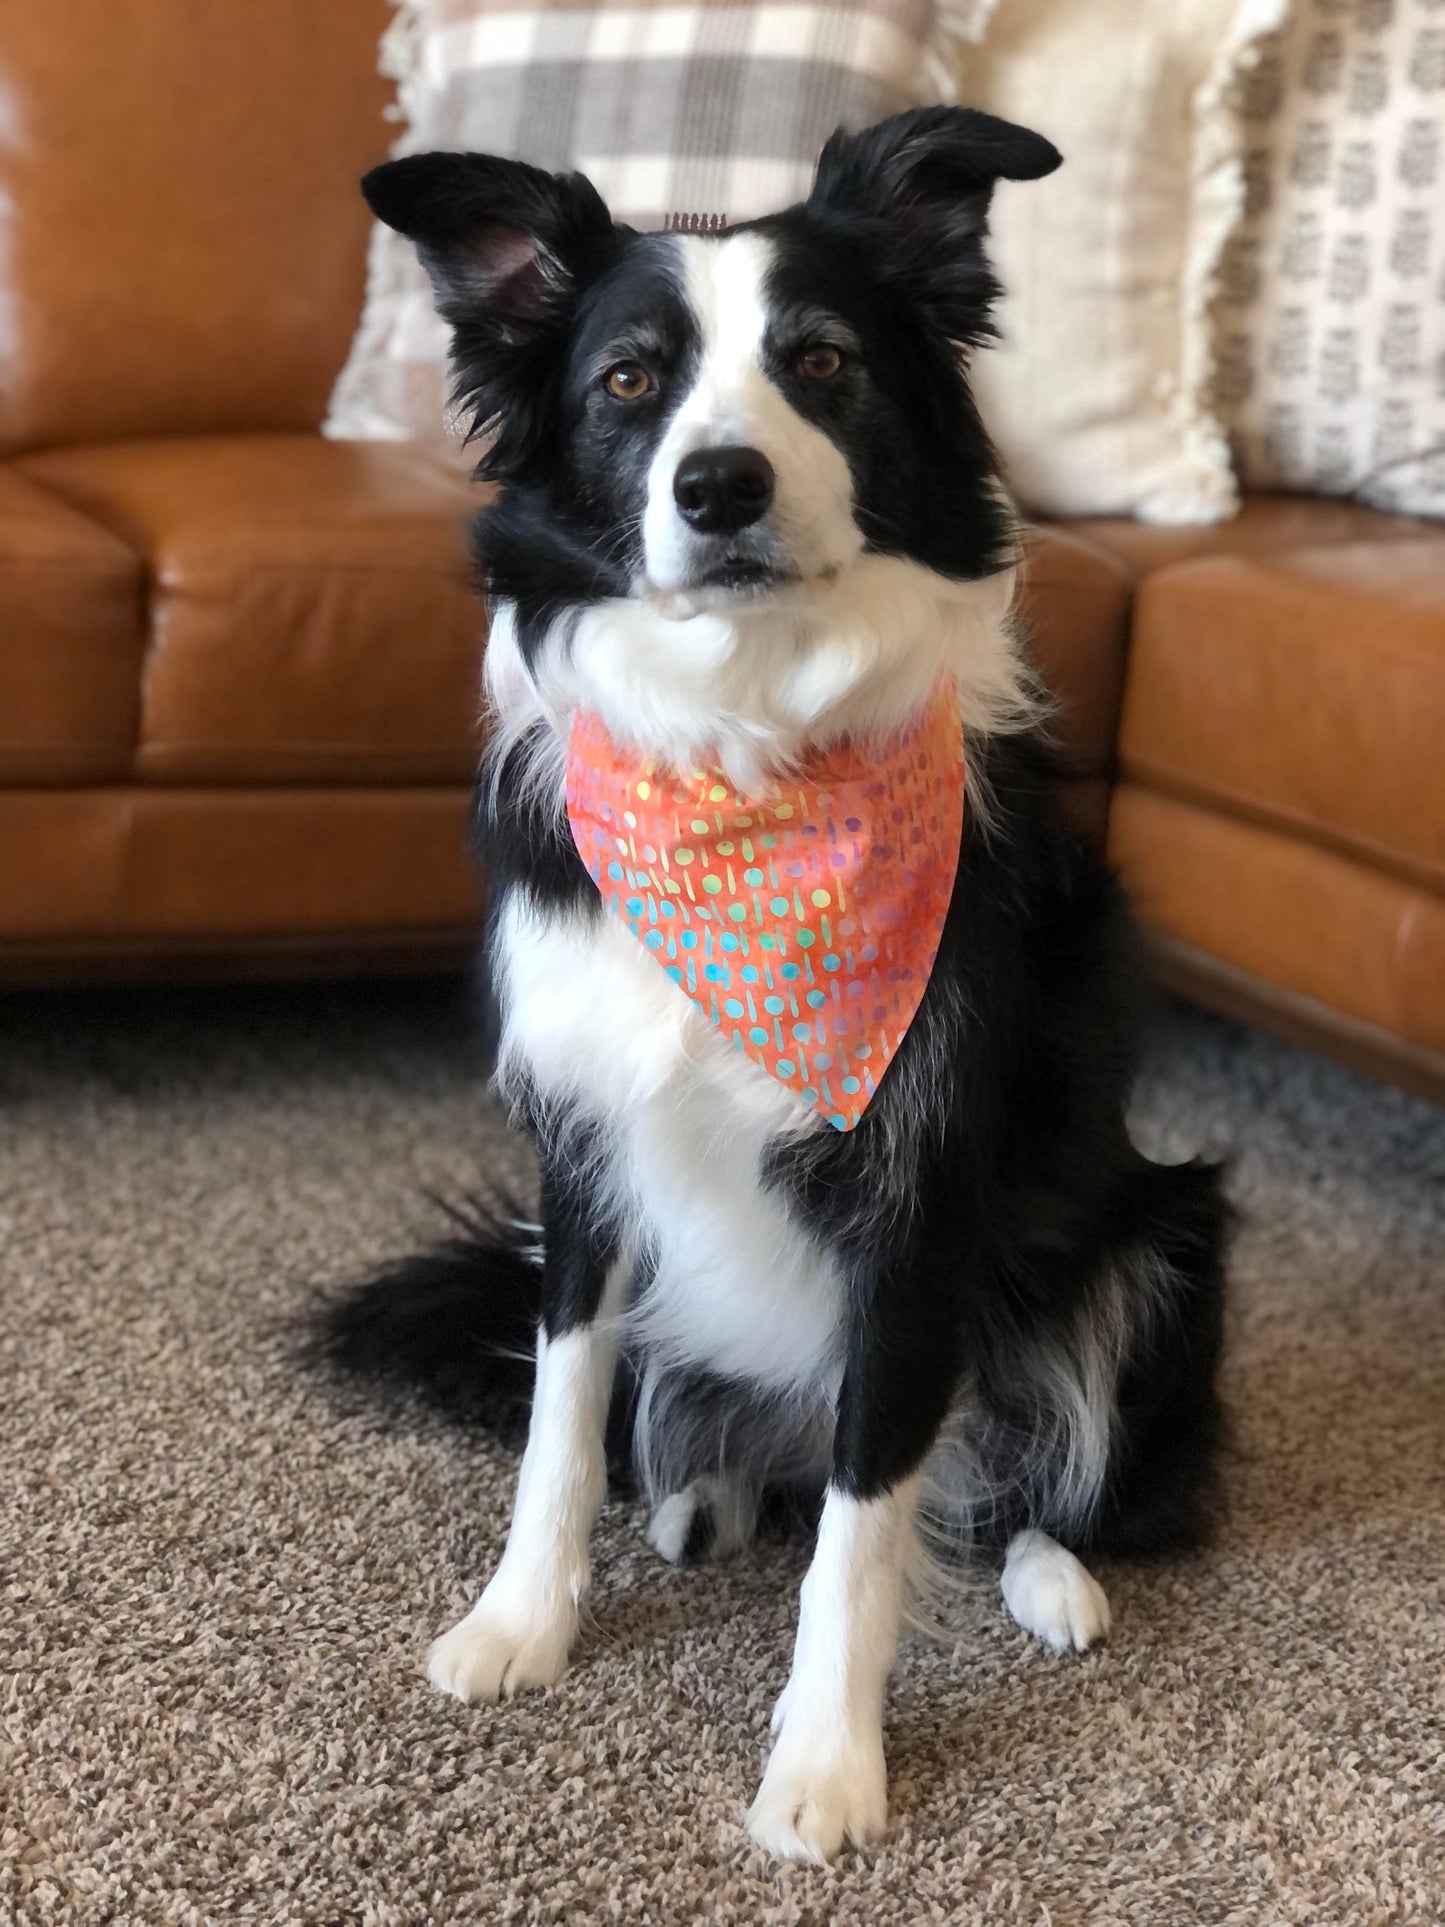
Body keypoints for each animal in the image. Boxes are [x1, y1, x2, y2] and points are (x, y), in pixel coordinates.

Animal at [321, 109, 1225, 1865]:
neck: (742, 755)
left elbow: (866, 1529)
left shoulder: (919, 1188)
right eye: (626, 380)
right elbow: (561, 1413)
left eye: (820, 361)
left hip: (1159, 1230)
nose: (718, 480)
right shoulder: (584, 1143)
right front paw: (519, 1624)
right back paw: (697, 1496)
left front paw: (823, 1766)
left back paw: (1051, 1575)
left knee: (1023, 1474)